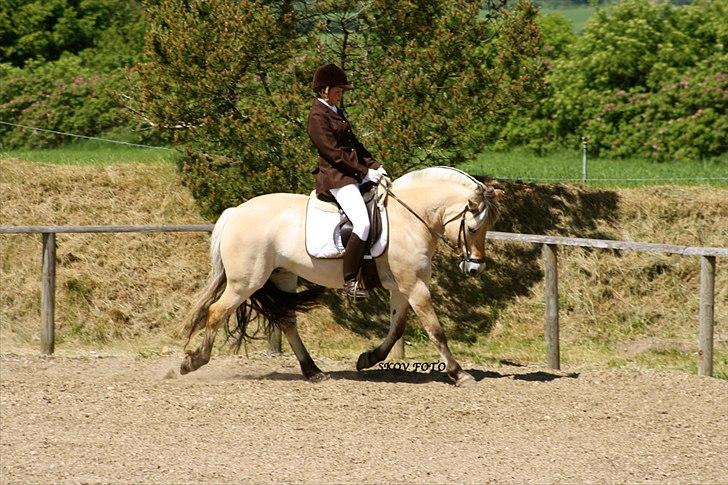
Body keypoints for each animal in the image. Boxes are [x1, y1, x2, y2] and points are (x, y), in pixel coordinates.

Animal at [179, 166, 504, 386]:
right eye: (473, 228)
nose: (475, 268)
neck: (410, 217)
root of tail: (235, 212)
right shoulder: (414, 285)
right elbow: (435, 328)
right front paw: (459, 373)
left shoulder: (402, 287)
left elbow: (397, 328)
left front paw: (368, 359)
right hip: (245, 282)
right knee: (216, 312)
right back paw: (192, 362)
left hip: (282, 275)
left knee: (287, 321)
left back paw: (313, 372)